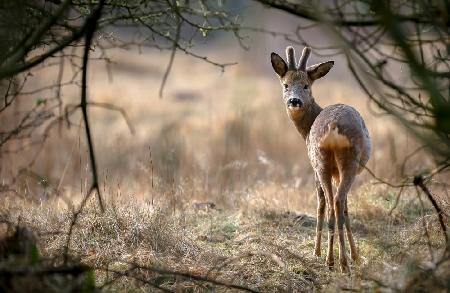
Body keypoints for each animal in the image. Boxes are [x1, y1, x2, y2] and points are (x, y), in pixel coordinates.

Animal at [270, 45, 370, 272]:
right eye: (286, 85)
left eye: (306, 85)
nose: (294, 101)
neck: (306, 130)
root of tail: (333, 127)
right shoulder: (329, 171)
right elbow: (343, 207)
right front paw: (354, 256)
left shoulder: (314, 167)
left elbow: (321, 204)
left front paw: (317, 252)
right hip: (341, 163)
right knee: (338, 203)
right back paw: (339, 261)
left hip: (325, 162)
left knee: (331, 202)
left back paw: (334, 260)